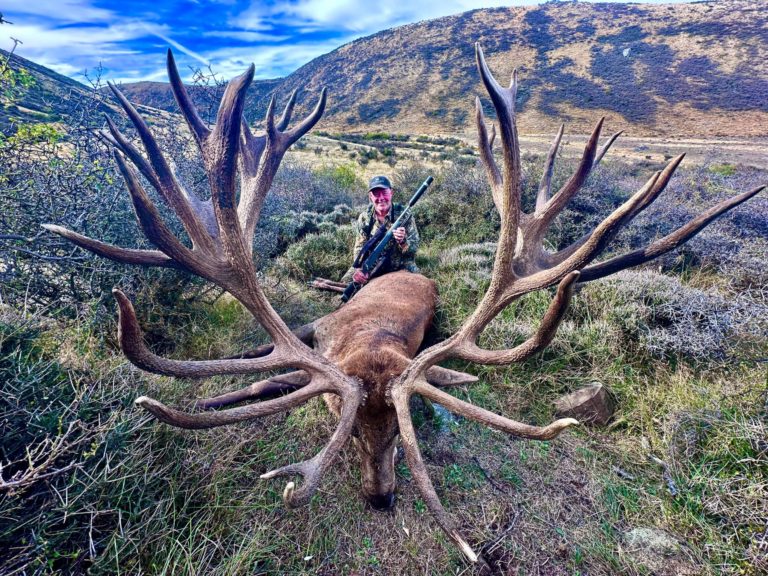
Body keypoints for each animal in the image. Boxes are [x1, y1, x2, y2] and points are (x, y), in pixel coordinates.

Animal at [44, 44, 764, 564]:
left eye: (399, 428)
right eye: (342, 418)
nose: (382, 498)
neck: (365, 344)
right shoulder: (316, 333)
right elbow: (259, 376)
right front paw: (212, 396)